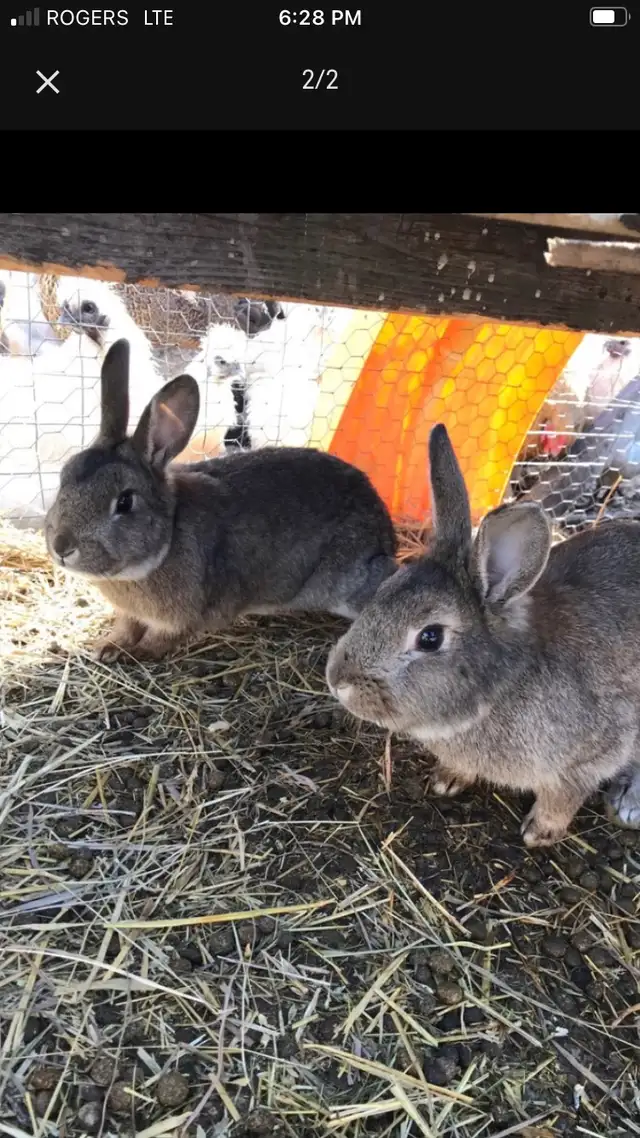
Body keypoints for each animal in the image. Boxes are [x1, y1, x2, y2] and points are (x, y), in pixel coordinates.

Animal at [44, 338, 398, 662]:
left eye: (125, 503)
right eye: (64, 477)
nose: (62, 547)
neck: (167, 539)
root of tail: (385, 528)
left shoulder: (180, 617)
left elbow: (161, 639)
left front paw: (139, 654)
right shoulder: (130, 613)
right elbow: (126, 627)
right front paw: (107, 647)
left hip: (347, 581)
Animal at [325, 422, 640, 848]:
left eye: (430, 637)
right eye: (385, 589)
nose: (337, 681)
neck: (501, 689)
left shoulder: (592, 755)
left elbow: (564, 795)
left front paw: (540, 833)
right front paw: (447, 780)